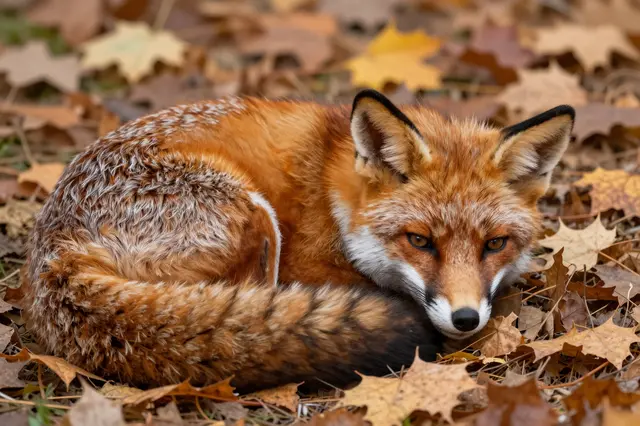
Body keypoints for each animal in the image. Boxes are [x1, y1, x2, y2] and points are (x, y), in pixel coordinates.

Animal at [21, 89, 574, 391]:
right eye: (420, 241)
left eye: (494, 244)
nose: (465, 319)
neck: (334, 192)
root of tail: (53, 250)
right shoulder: (306, 264)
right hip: (254, 219)